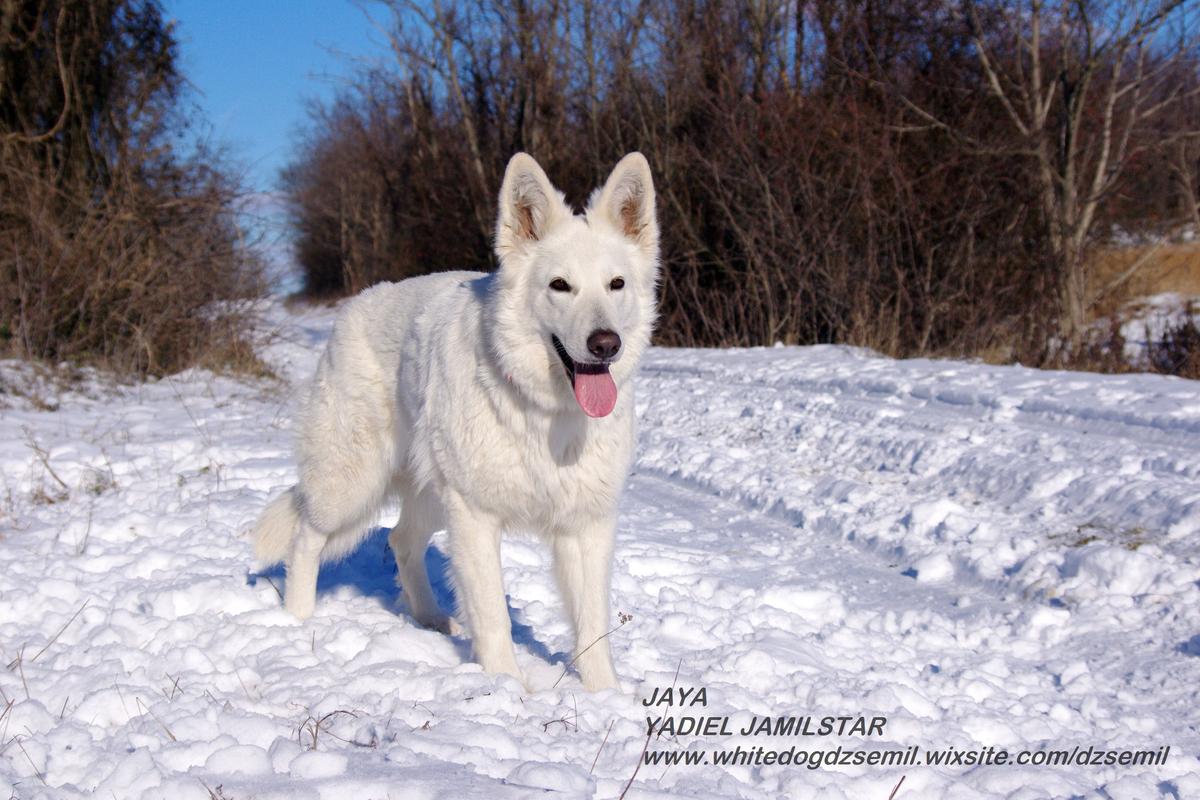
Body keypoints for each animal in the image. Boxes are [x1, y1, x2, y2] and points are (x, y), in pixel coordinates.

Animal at [253, 153, 662, 690]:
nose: (605, 344)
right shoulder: (474, 517)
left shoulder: (586, 524)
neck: (543, 412)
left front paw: (605, 696)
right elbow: (492, 616)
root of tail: (356, 304)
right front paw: (508, 689)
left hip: (429, 493)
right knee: (306, 538)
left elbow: (592, 626)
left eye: (617, 285)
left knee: (400, 540)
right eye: (559, 286)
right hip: (351, 482)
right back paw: (297, 620)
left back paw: (428, 619)